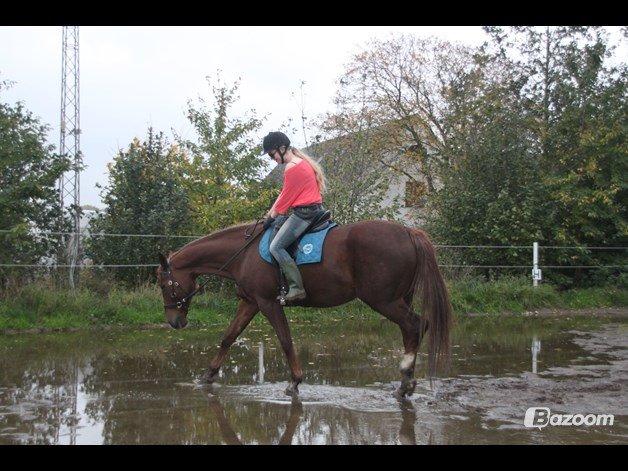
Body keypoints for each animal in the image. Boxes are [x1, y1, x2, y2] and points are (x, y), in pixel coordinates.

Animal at [156, 220, 452, 398]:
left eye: (163, 284)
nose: (174, 321)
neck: (244, 254)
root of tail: (409, 233)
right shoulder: (250, 302)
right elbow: (229, 337)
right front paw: (207, 375)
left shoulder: (268, 303)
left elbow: (285, 340)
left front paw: (295, 381)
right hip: (400, 299)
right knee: (410, 330)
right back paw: (405, 382)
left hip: (384, 301)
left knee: (415, 325)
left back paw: (406, 381)